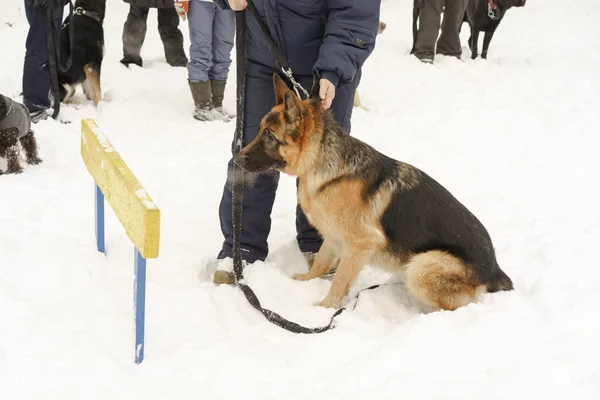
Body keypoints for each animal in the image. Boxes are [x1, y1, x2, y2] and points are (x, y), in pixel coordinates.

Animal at [234, 73, 510, 310]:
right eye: (259, 130)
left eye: (270, 137)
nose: (236, 158)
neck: (320, 163)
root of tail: (494, 268)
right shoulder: (333, 236)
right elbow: (321, 263)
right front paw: (304, 282)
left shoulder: (360, 245)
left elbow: (339, 280)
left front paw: (324, 309)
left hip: (420, 266)